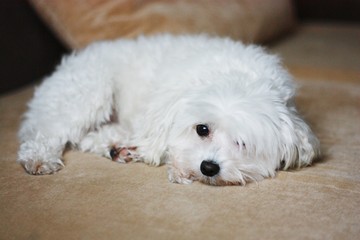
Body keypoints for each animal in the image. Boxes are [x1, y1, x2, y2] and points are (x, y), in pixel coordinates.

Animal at [17, 34, 320, 186]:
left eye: (242, 143)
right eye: (202, 129)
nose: (208, 167)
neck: (235, 76)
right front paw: (179, 168)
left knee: (88, 137)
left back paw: (119, 147)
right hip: (89, 90)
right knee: (49, 131)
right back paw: (39, 157)